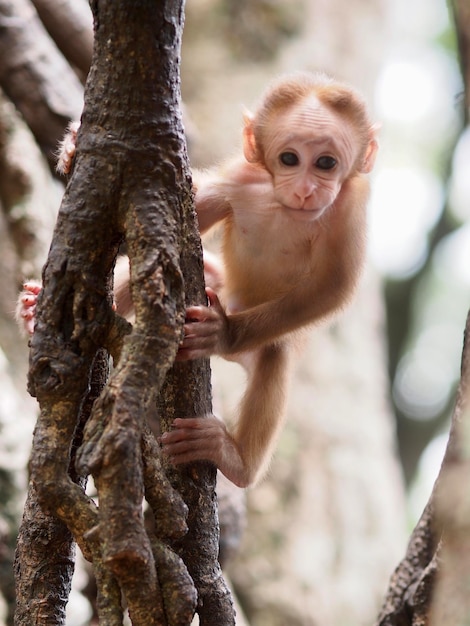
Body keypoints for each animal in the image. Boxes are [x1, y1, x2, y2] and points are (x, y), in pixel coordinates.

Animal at [17, 69, 378, 488]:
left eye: (326, 163)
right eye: (290, 158)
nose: (306, 190)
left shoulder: (349, 209)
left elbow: (333, 287)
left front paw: (223, 332)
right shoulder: (240, 179)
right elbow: (186, 208)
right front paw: (73, 149)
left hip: (257, 336)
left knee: (275, 354)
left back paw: (234, 459)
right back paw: (36, 312)